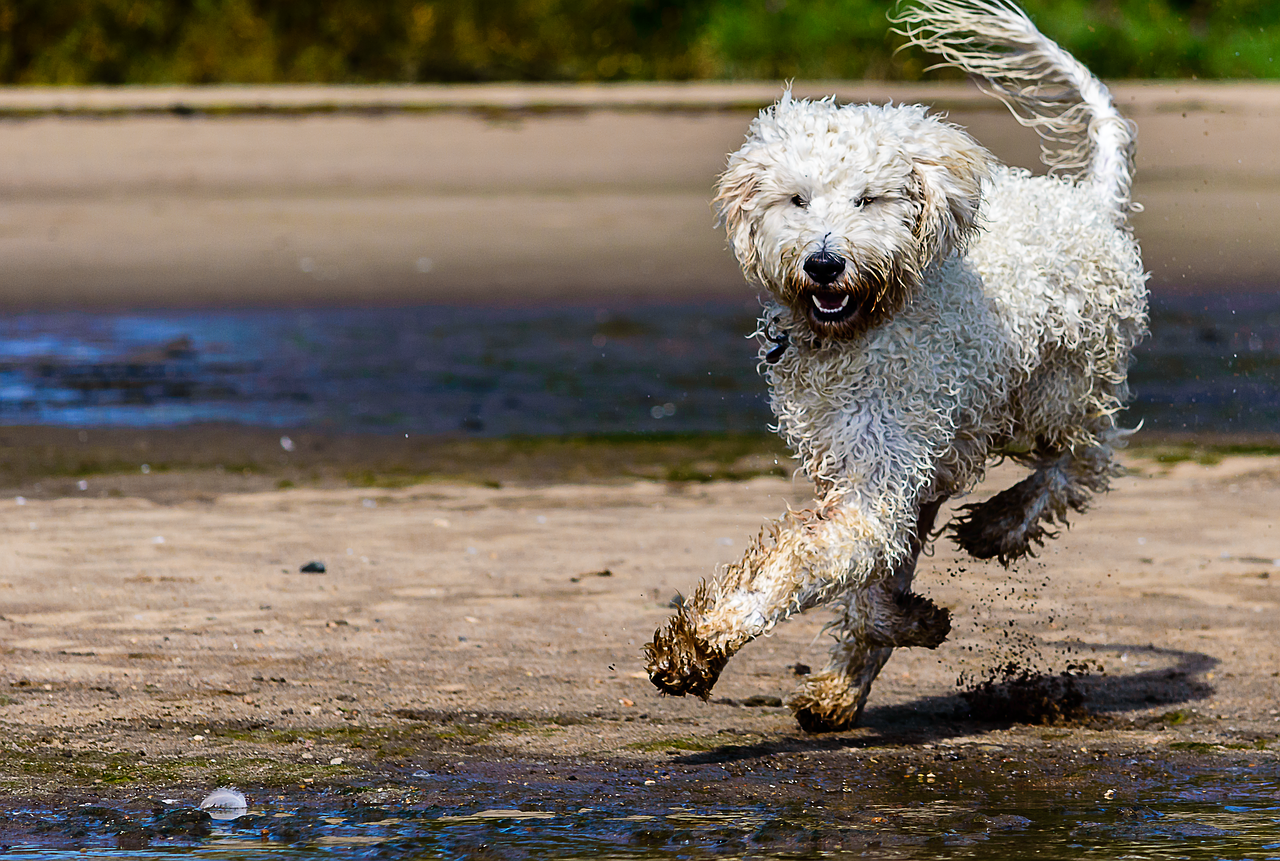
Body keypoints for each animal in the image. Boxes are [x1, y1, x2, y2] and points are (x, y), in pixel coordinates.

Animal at [645, 0, 1146, 726]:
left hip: (1061, 392)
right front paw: (899, 630)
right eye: (796, 199)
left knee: (1083, 464)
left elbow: (805, 565)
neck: (866, 325)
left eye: (868, 199)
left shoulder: (880, 476)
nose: (824, 262)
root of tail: (1089, 206)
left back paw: (1002, 522)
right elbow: (870, 582)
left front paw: (700, 643)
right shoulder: (877, 471)